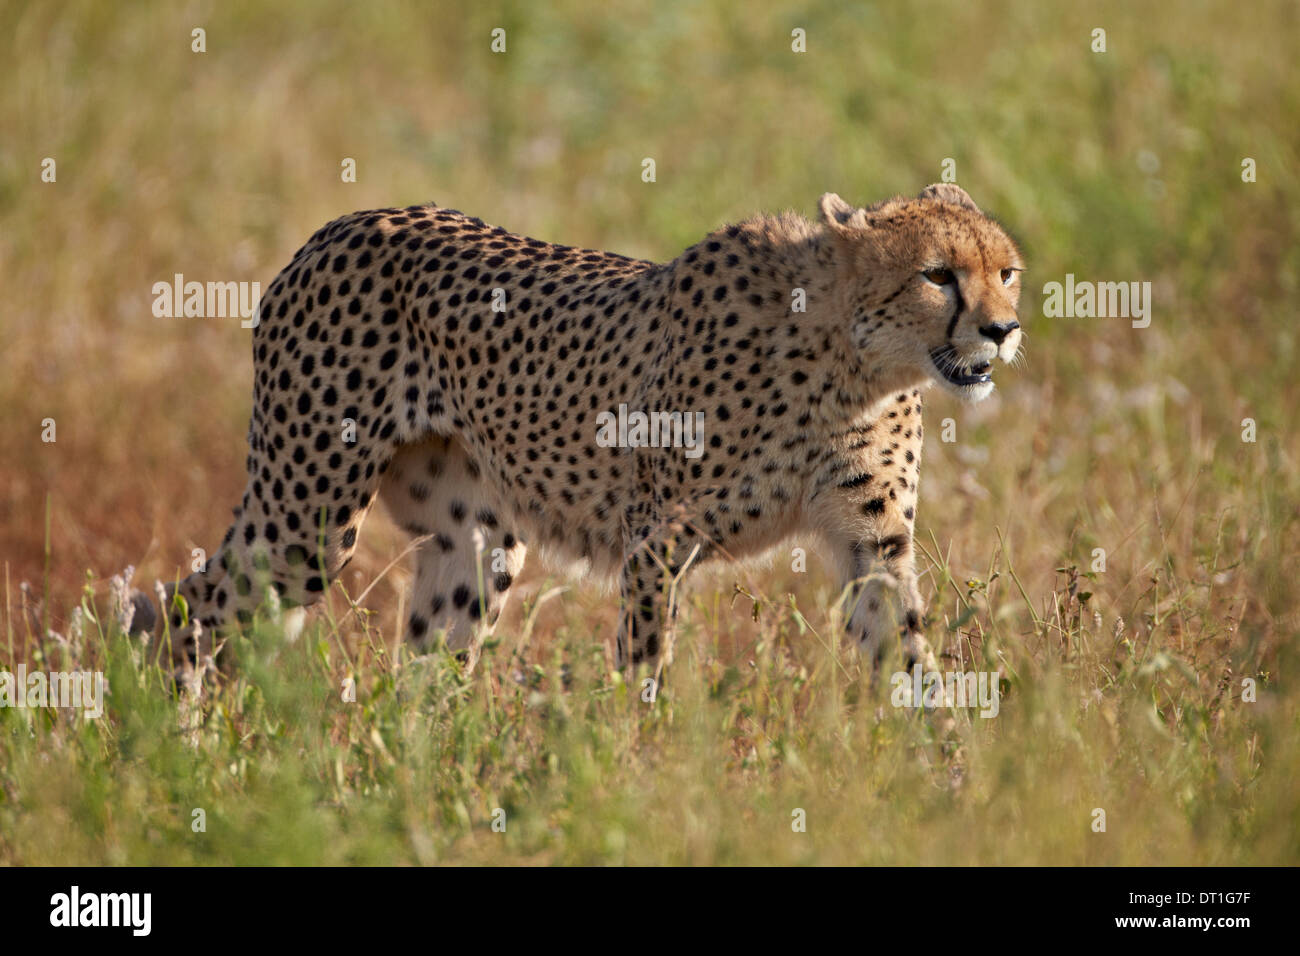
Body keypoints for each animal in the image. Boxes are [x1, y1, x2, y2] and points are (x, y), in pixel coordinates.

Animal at [139, 183, 1013, 686]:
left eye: (1006, 272)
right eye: (938, 275)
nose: (1003, 331)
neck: (852, 364)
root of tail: (346, 221)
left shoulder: (873, 544)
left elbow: (911, 660)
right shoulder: (656, 540)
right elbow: (644, 671)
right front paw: (639, 771)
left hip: (475, 541)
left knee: (424, 672)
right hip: (307, 521)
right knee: (184, 610)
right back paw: (180, 748)